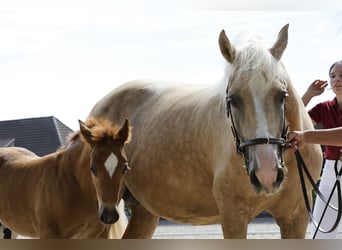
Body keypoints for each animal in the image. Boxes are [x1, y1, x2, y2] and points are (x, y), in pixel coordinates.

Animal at [89, 23, 324, 238]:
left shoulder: (295, 218)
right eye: (232, 99)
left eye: (281, 95)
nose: (266, 174)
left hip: (144, 212)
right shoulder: (233, 217)